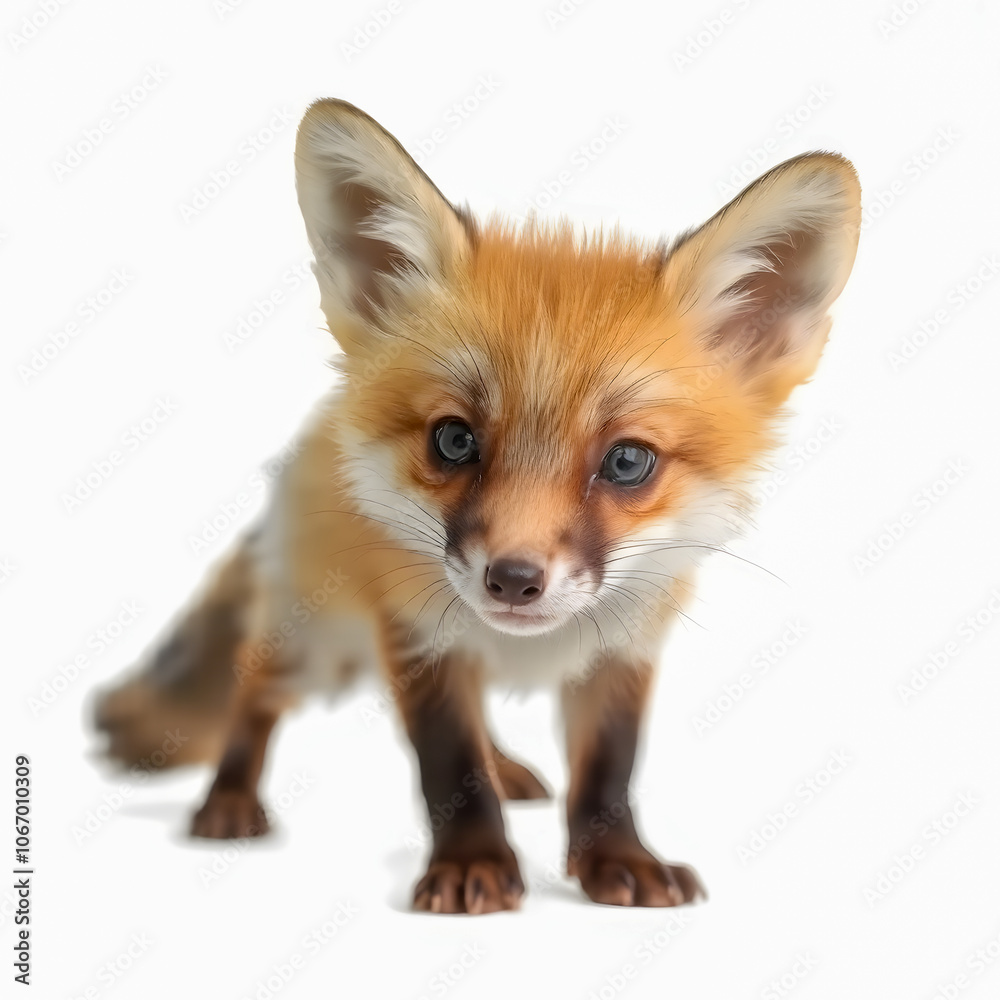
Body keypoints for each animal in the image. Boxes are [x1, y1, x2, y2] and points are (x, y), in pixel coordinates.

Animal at [92, 99, 861, 914]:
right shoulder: (418, 635)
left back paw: (508, 769)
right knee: (252, 691)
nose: (513, 580)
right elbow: (449, 765)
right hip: (311, 640)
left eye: (627, 461)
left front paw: (617, 860)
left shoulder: (623, 649)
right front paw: (471, 864)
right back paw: (229, 799)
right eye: (455, 440)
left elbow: (607, 770)